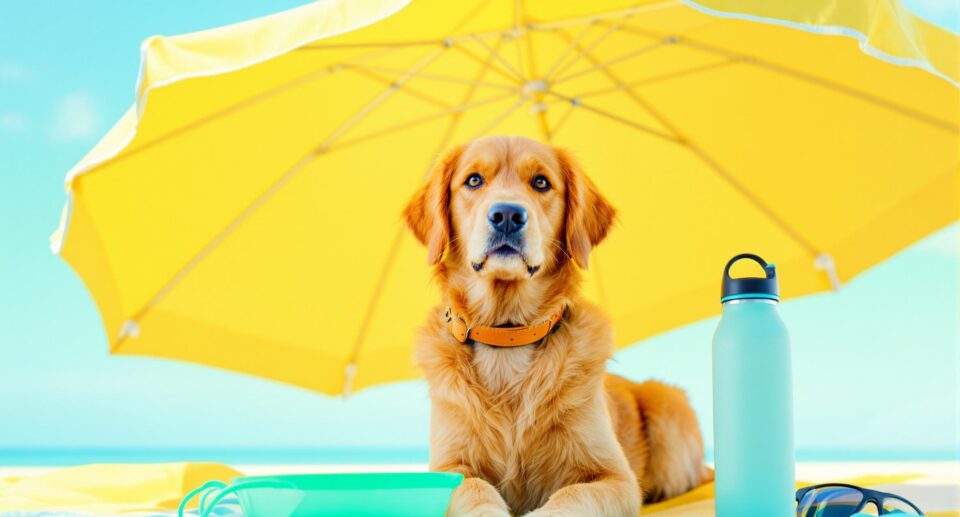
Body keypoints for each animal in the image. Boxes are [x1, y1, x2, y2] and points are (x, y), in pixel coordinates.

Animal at [402, 135, 708, 512]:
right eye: (473, 180)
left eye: (541, 182)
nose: (507, 215)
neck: (508, 336)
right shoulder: (450, 466)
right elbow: (475, 491)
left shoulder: (615, 478)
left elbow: (573, 496)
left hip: (668, 407)